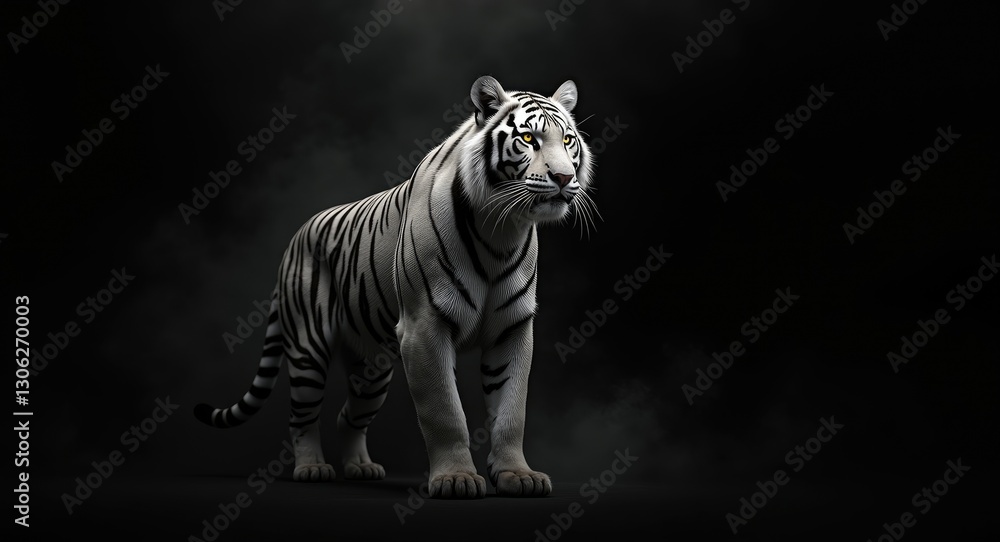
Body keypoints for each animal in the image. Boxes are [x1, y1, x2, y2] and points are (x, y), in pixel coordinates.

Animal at [195, 76, 597, 499]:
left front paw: (518, 475)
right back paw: (312, 468)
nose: (564, 178)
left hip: (371, 369)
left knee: (348, 416)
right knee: (302, 416)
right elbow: (444, 410)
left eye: (567, 140)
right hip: (308, 350)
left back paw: (361, 467)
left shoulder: (513, 328)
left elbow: (512, 411)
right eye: (529, 139)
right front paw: (455, 478)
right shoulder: (424, 328)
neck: (500, 229)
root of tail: (295, 239)